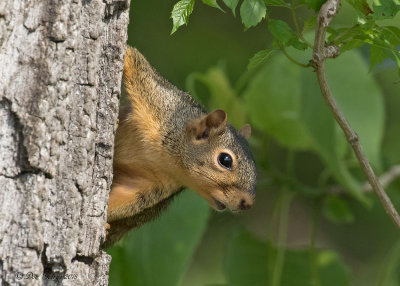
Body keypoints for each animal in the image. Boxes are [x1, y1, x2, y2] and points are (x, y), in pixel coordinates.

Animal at [103, 47, 256, 248]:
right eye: (225, 160)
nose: (248, 203)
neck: (165, 159)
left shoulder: (153, 185)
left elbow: (127, 199)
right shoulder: (157, 98)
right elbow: (135, 61)